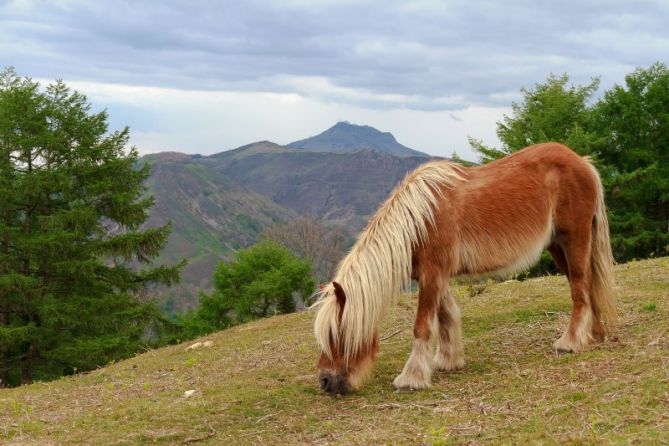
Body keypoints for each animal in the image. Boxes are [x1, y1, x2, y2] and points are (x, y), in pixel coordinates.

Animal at [314, 142, 616, 394]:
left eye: (336, 334)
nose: (325, 381)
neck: (419, 220)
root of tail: (582, 162)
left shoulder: (432, 274)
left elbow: (422, 326)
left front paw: (411, 378)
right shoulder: (436, 276)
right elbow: (446, 315)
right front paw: (448, 360)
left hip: (574, 240)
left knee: (580, 290)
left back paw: (571, 342)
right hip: (557, 247)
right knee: (587, 287)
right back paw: (594, 336)